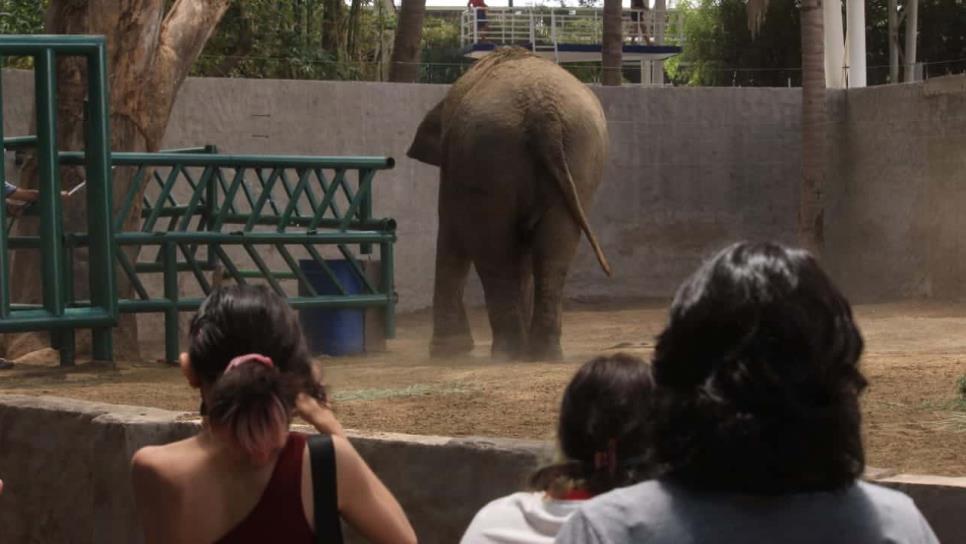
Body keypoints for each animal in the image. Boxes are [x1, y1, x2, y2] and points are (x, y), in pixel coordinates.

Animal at [408, 47, 612, 362]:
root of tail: (543, 113)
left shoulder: (454, 170)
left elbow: (452, 233)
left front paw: (446, 352)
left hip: (489, 153)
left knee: (494, 252)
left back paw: (509, 352)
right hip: (579, 154)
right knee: (554, 250)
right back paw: (541, 353)